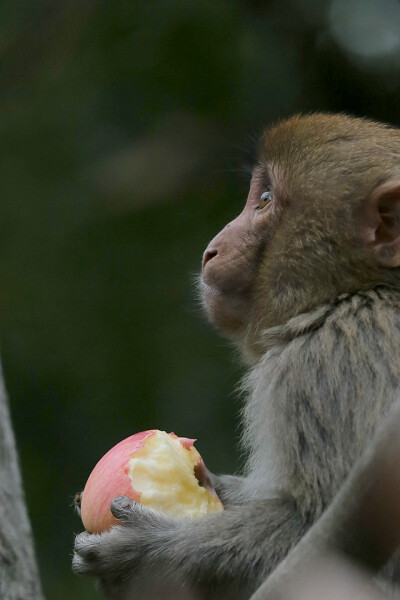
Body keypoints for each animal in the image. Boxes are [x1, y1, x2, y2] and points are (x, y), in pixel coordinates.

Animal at [73, 113, 400, 600]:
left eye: (264, 200)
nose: (211, 247)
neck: (348, 294)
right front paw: (211, 483)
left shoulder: (331, 364)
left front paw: (147, 552)